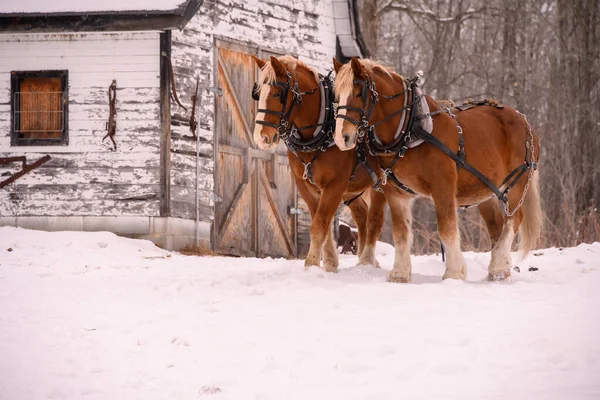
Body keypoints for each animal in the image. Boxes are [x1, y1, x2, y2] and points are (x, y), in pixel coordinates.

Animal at [251, 54, 386, 270]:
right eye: (258, 93)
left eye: (278, 93)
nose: (260, 137)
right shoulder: (305, 184)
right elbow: (320, 221)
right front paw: (329, 263)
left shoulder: (335, 185)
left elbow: (320, 223)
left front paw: (311, 263)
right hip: (351, 190)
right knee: (362, 216)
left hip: (379, 183)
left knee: (374, 220)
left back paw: (368, 261)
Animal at [332, 58, 544, 284]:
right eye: (336, 95)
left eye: (358, 92)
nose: (341, 138)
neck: (411, 128)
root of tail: (524, 121)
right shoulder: (396, 193)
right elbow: (401, 232)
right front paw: (400, 274)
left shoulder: (442, 186)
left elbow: (446, 228)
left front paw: (454, 273)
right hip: (486, 191)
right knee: (497, 227)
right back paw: (499, 270)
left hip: (517, 183)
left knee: (513, 219)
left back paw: (498, 266)